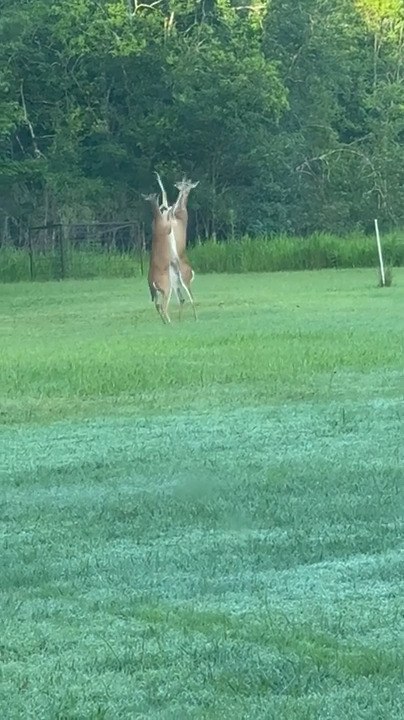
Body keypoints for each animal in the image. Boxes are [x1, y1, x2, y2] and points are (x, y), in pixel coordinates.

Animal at [154, 171, 199, 320]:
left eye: (187, 185)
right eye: (182, 183)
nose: (179, 185)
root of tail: (192, 272)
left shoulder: (171, 219)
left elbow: (167, 202)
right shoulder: (167, 213)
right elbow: (165, 202)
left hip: (184, 279)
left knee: (191, 297)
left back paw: (195, 318)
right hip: (174, 281)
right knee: (181, 298)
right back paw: (179, 319)